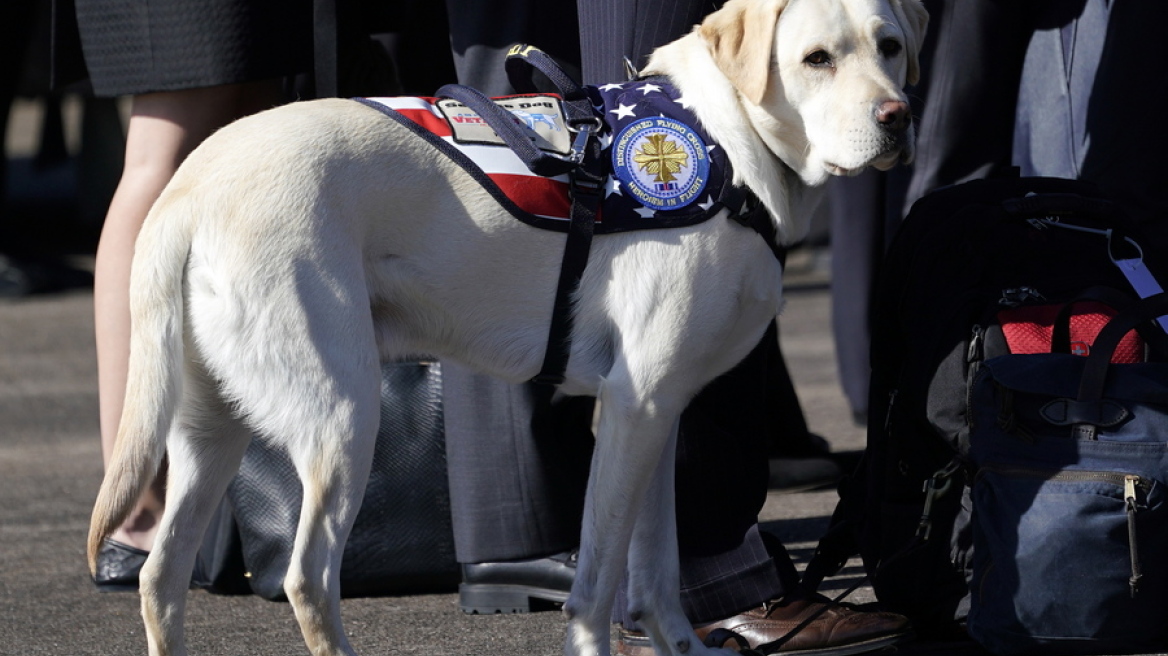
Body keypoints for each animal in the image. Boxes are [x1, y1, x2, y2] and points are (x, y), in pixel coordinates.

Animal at [91, 0, 925, 648]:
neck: (724, 144)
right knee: (307, 578)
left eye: (889, 46)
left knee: (162, 578)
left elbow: (656, 574)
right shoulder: (632, 407)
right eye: (816, 59)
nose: (897, 118)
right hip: (340, 418)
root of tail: (190, 186)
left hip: (209, 431)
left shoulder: (660, 414)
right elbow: (597, 584)